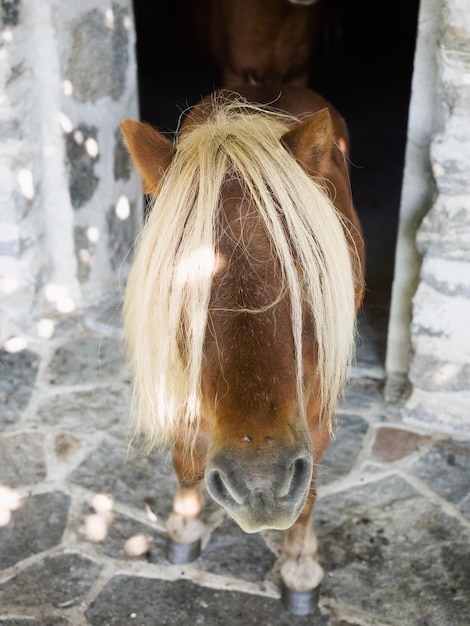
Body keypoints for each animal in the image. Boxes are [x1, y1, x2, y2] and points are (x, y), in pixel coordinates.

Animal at [120, 81, 364, 608]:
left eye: (310, 278)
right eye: (178, 289)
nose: (260, 485)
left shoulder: (316, 399)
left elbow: (310, 483)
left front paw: (299, 565)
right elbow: (185, 455)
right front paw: (185, 526)